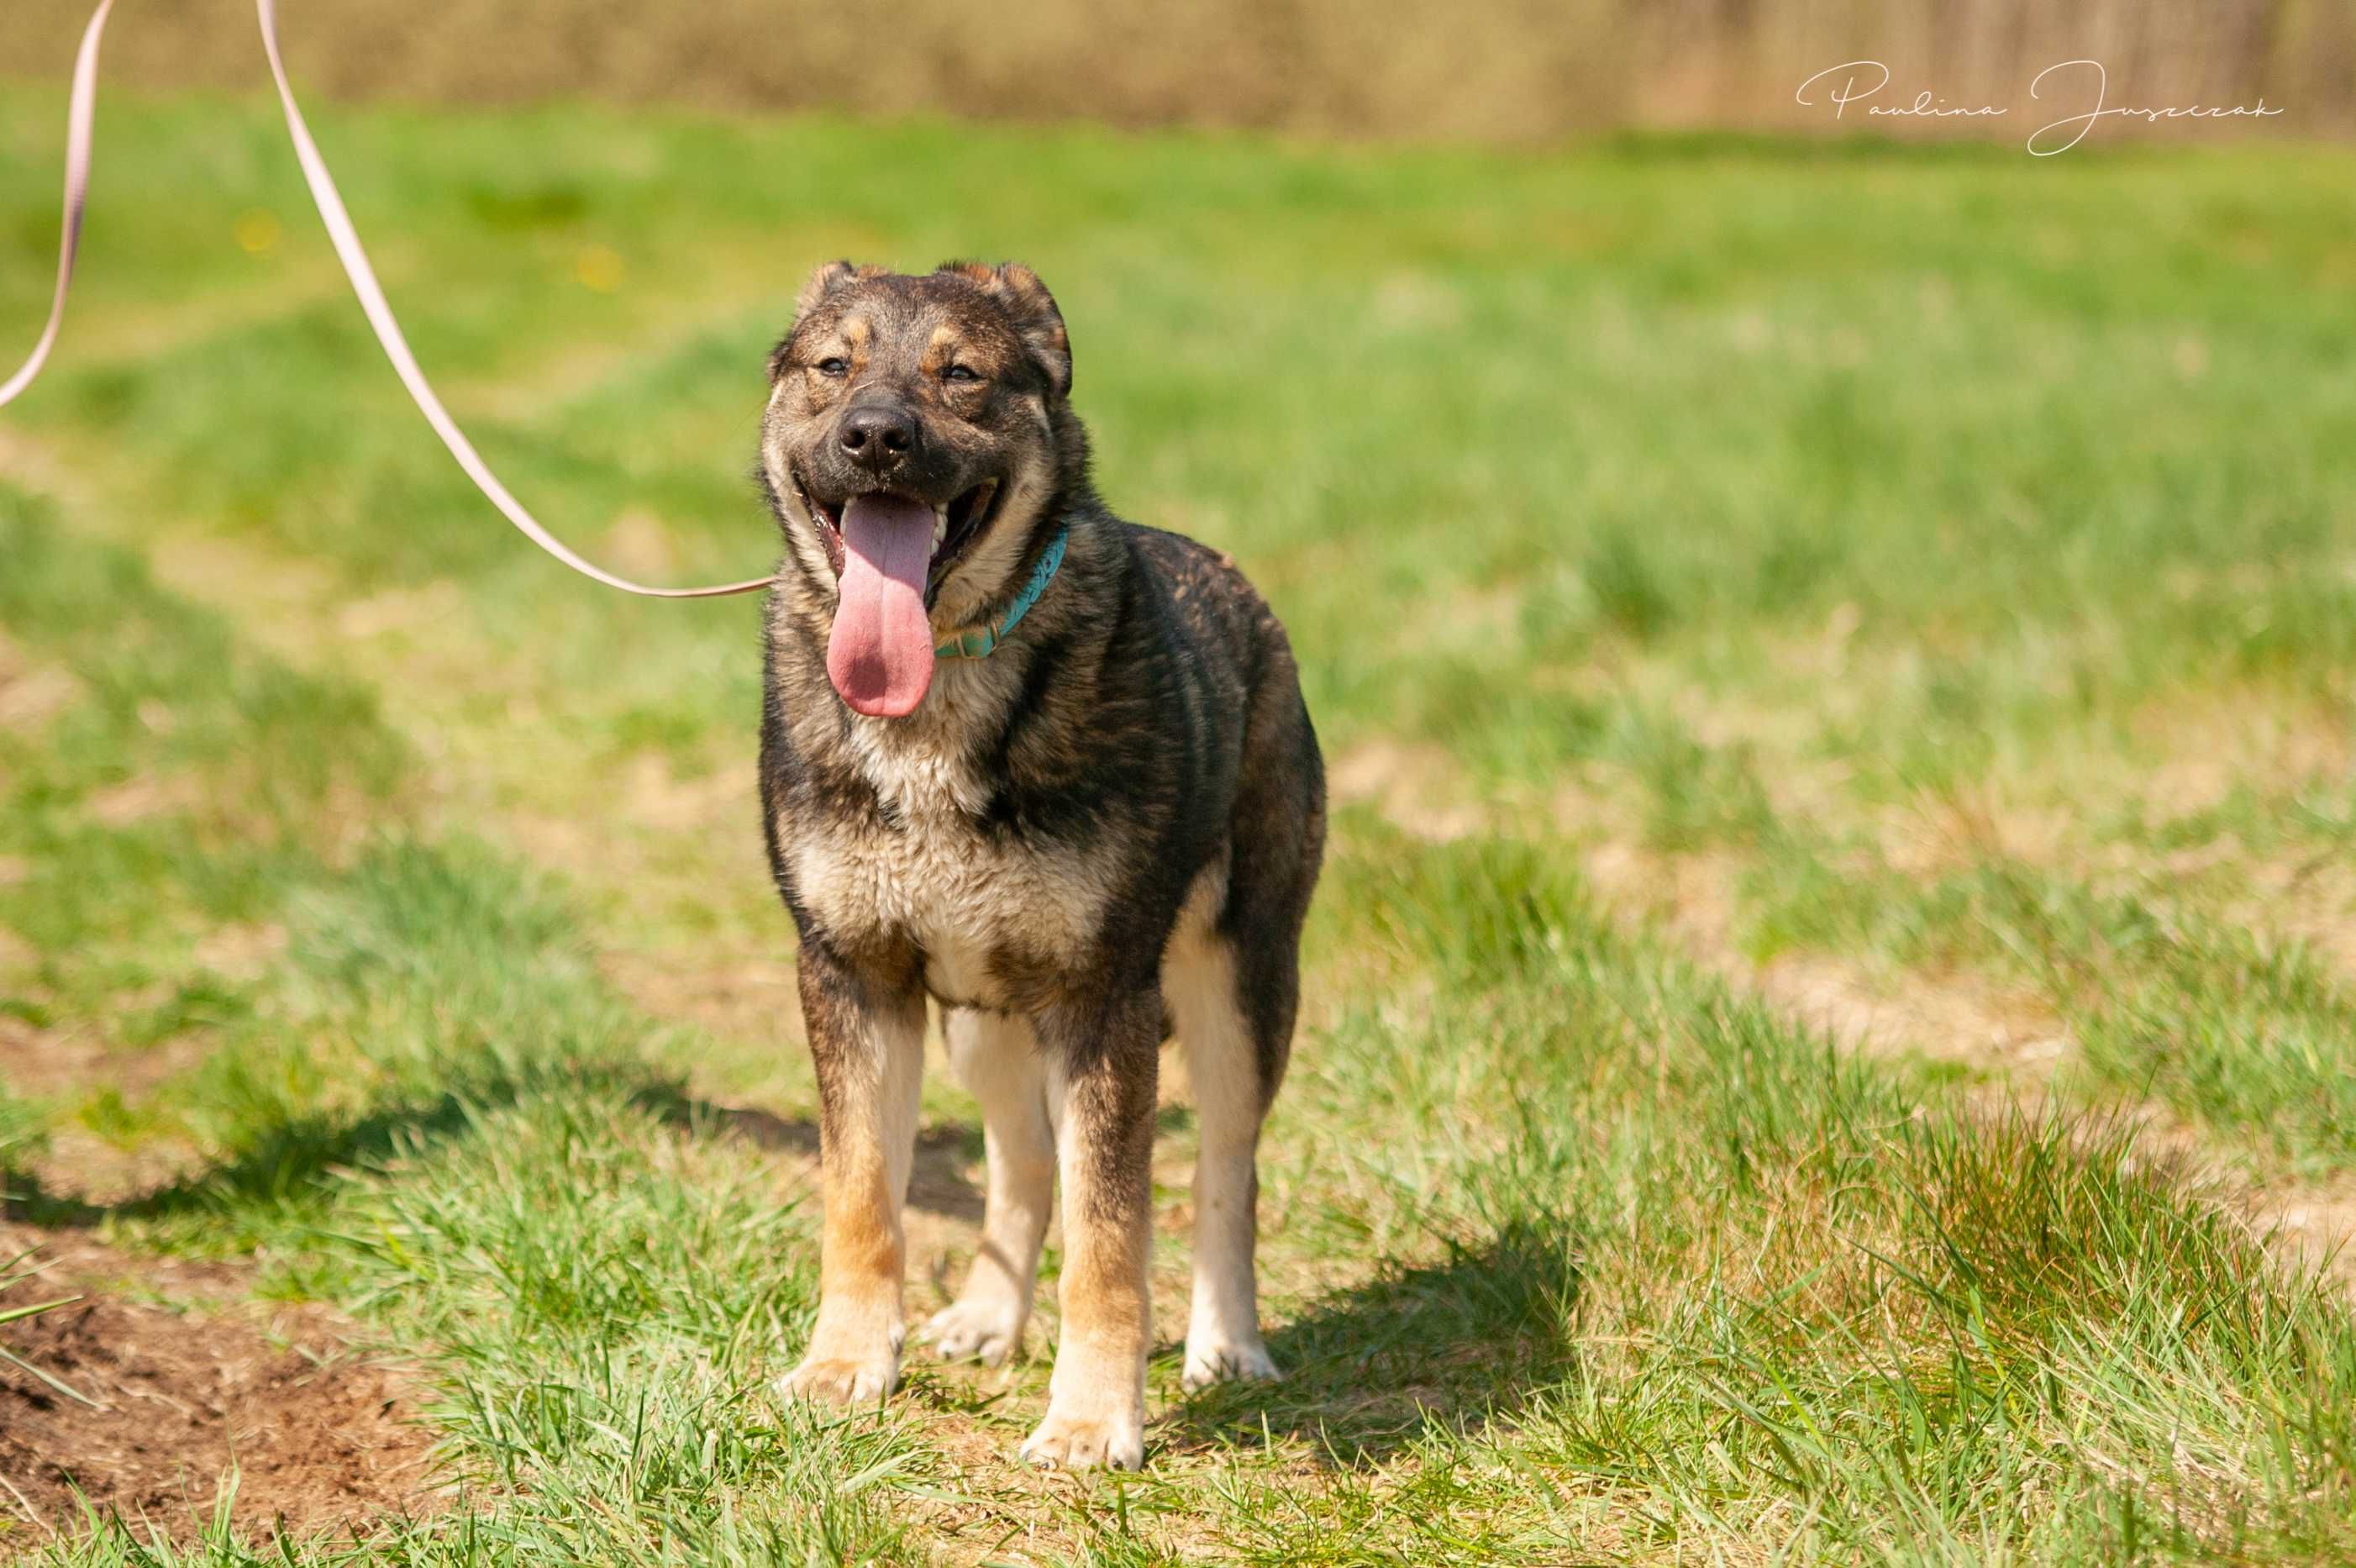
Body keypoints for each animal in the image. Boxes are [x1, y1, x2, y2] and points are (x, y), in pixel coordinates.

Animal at [763, 259, 1338, 1471]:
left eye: (961, 375)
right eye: (831, 366)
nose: (875, 437)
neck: (940, 684)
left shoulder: (1100, 996)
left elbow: (1111, 1233)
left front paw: (1089, 1421)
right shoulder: (853, 975)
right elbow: (861, 1197)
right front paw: (844, 1367)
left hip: (1238, 983)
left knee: (1225, 1170)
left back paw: (1229, 1346)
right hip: (981, 1018)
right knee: (1023, 1160)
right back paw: (988, 1316)